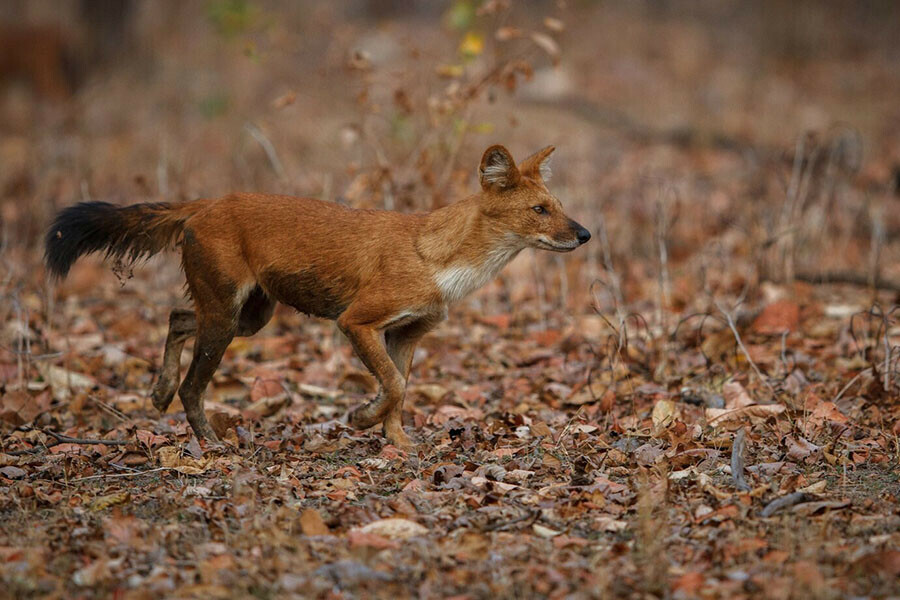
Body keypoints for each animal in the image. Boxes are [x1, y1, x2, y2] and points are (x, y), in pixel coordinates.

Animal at [45, 144, 592, 446]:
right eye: (540, 210)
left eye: (560, 205)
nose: (585, 234)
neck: (441, 259)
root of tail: (207, 201)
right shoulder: (357, 321)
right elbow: (394, 386)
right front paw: (362, 417)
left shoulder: (408, 333)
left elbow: (401, 389)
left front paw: (397, 442)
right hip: (226, 318)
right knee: (192, 386)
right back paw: (211, 444)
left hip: (250, 315)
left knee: (178, 316)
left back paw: (158, 392)